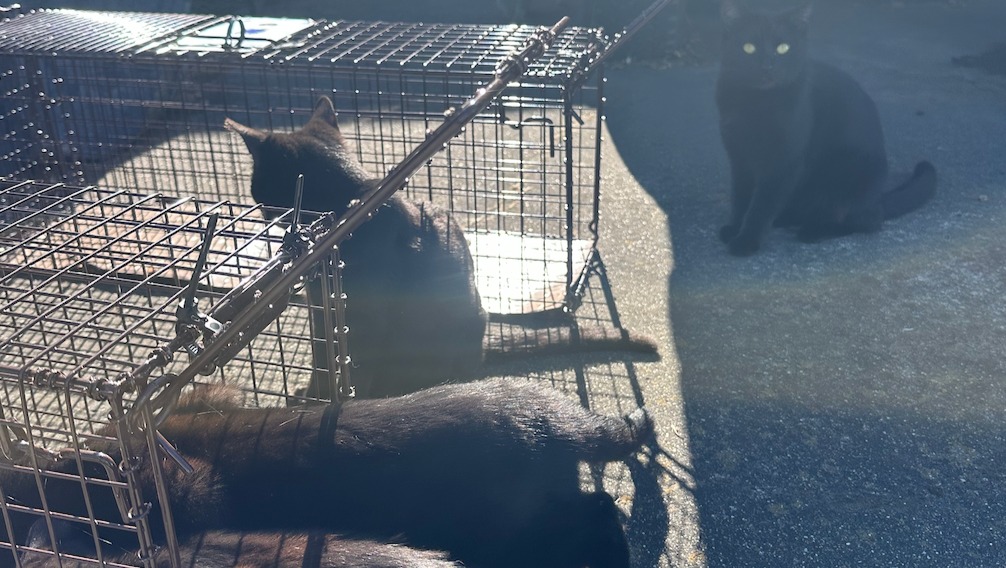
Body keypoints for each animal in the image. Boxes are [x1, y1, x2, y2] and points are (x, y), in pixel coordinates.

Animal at [224, 97, 656, 399]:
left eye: (257, 192)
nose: (259, 213)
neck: (347, 206)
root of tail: (482, 346)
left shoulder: (364, 321)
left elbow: (349, 366)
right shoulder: (321, 308)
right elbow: (322, 357)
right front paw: (312, 394)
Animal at [715, 0, 937, 257]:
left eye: (783, 48)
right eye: (748, 48)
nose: (767, 65)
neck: (756, 104)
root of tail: (877, 199)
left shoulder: (782, 163)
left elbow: (761, 205)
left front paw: (746, 241)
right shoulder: (740, 159)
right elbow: (741, 197)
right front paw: (735, 228)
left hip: (848, 175)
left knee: (866, 221)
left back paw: (814, 230)